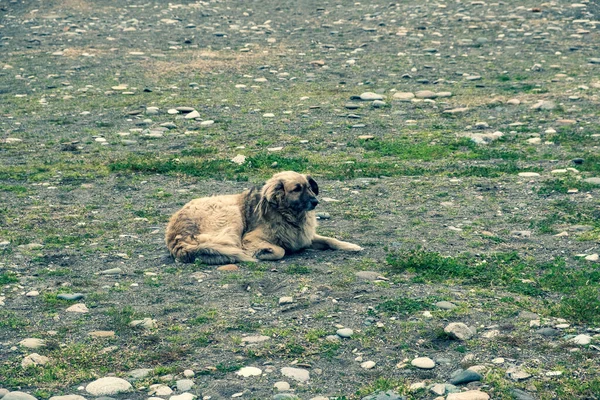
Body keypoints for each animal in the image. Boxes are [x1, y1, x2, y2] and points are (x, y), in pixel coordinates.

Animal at [164, 170, 364, 264]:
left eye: (309, 187)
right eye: (296, 189)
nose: (316, 202)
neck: (289, 216)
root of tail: (176, 237)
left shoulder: (304, 237)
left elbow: (330, 239)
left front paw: (351, 246)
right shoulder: (250, 238)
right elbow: (280, 250)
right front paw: (263, 252)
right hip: (231, 214)